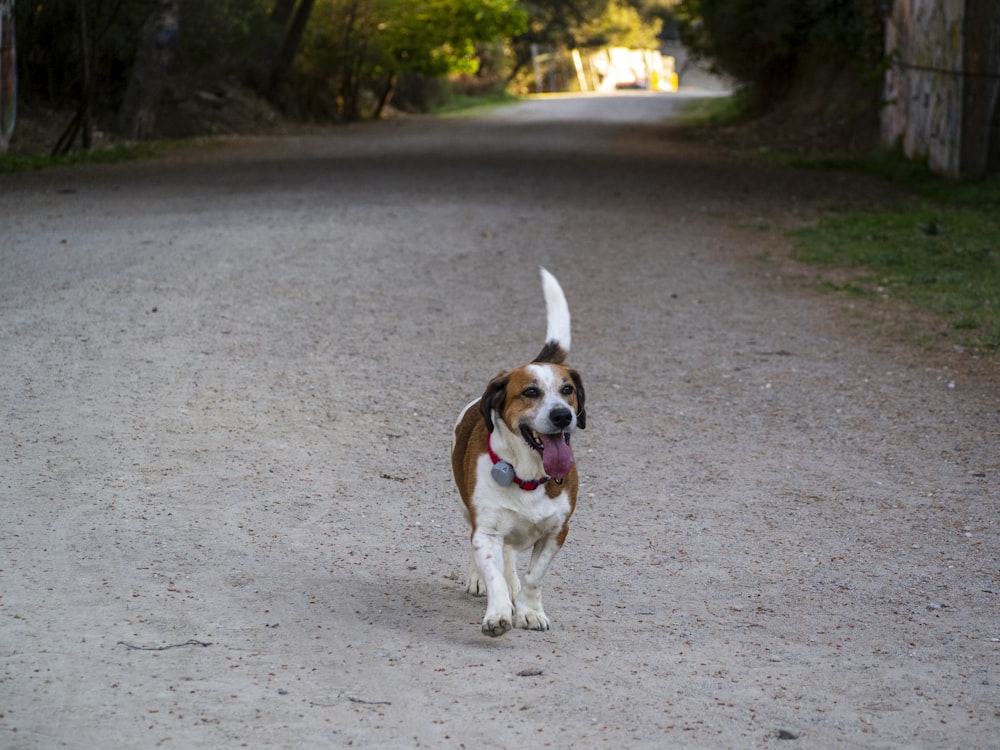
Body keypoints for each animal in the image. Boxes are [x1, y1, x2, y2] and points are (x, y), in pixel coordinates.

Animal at [454, 268, 584, 636]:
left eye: (567, 390)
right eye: (530, 392)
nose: (562, 415)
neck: (528, 476)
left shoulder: (557, 532)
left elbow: (534, 577)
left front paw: (529, 611)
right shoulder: (485, 530)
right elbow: (493, 573)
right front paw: (498, 612)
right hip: (468, 509)